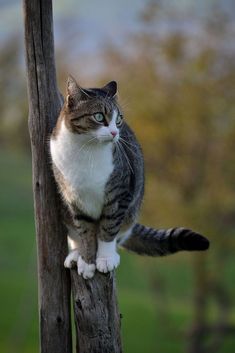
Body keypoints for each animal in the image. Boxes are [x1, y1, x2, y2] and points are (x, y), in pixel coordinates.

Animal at [49, 76, 209, 278]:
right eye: (99, 116)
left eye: (118, 119)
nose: (114, 133)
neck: (85, 150)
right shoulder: (74, 200)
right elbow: (86, 233)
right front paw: (87, 261)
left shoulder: (120, 193)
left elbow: (108, 229)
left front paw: (105, 259)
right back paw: (76, 255)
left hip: (131, 212)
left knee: (119, 233)